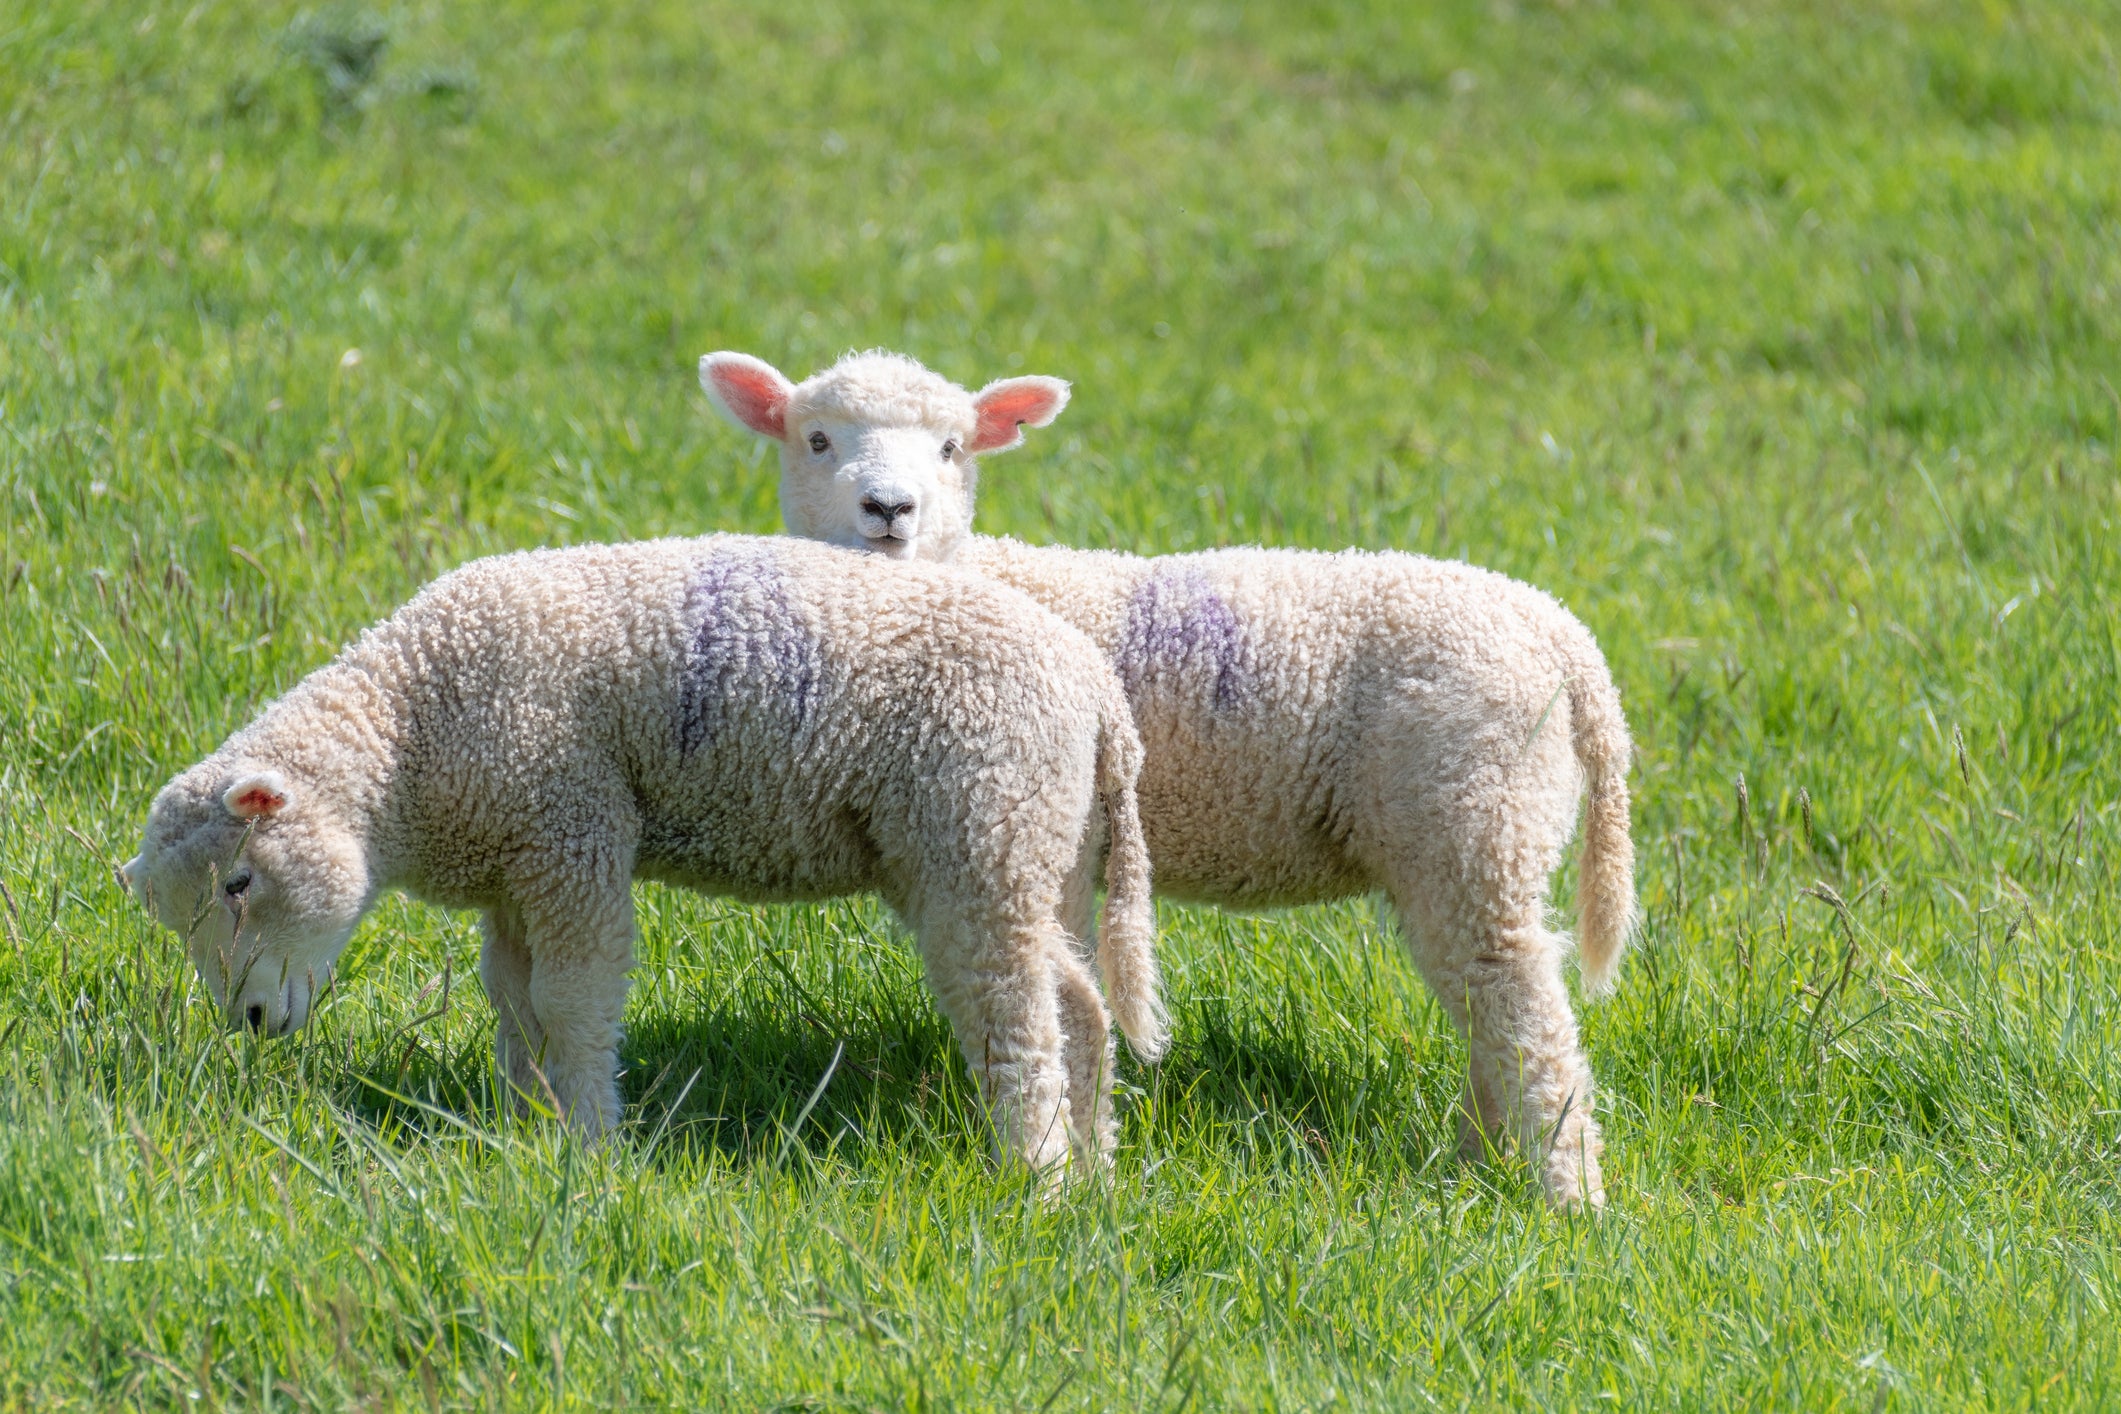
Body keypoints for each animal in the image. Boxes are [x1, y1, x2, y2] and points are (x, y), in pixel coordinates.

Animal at [121, 533, 1166, 1182]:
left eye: (241, 882)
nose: (252, 1021)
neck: (410, 736)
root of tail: (1097, 699)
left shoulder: (570, 829)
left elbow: (571, 1000)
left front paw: (587, 1147)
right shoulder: (518, 865)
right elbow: (514, 1004)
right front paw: (526, 1128)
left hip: (981, 835)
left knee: (1018, 1022)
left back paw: (1031, 1178)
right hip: (1036, 853)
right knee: (1078, 1008)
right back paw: (1093, 1177)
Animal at [700, 350, 1638, 1208]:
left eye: (951, 447)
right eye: (816, 439)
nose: (888, 509)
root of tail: (1564, 638)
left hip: (1474, 814)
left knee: (1525, 1010)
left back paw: (1566, 1197)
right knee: (1490, 1011)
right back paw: (1483, 1165)